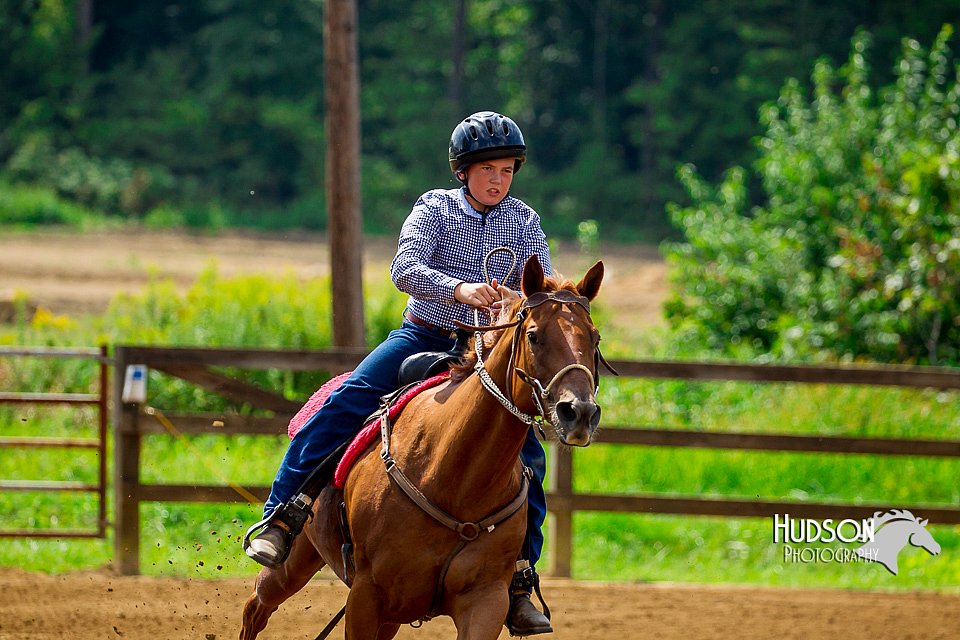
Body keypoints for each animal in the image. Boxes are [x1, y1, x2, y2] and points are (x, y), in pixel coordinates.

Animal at [239, 256, 604, 640]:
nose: (579, 412)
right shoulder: (366, 595)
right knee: (256, 607)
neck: (453, 478)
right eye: (533, 335)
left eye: (594, 338)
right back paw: (272, 536)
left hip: (389, 612)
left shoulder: (486, 600)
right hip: (295, 560)